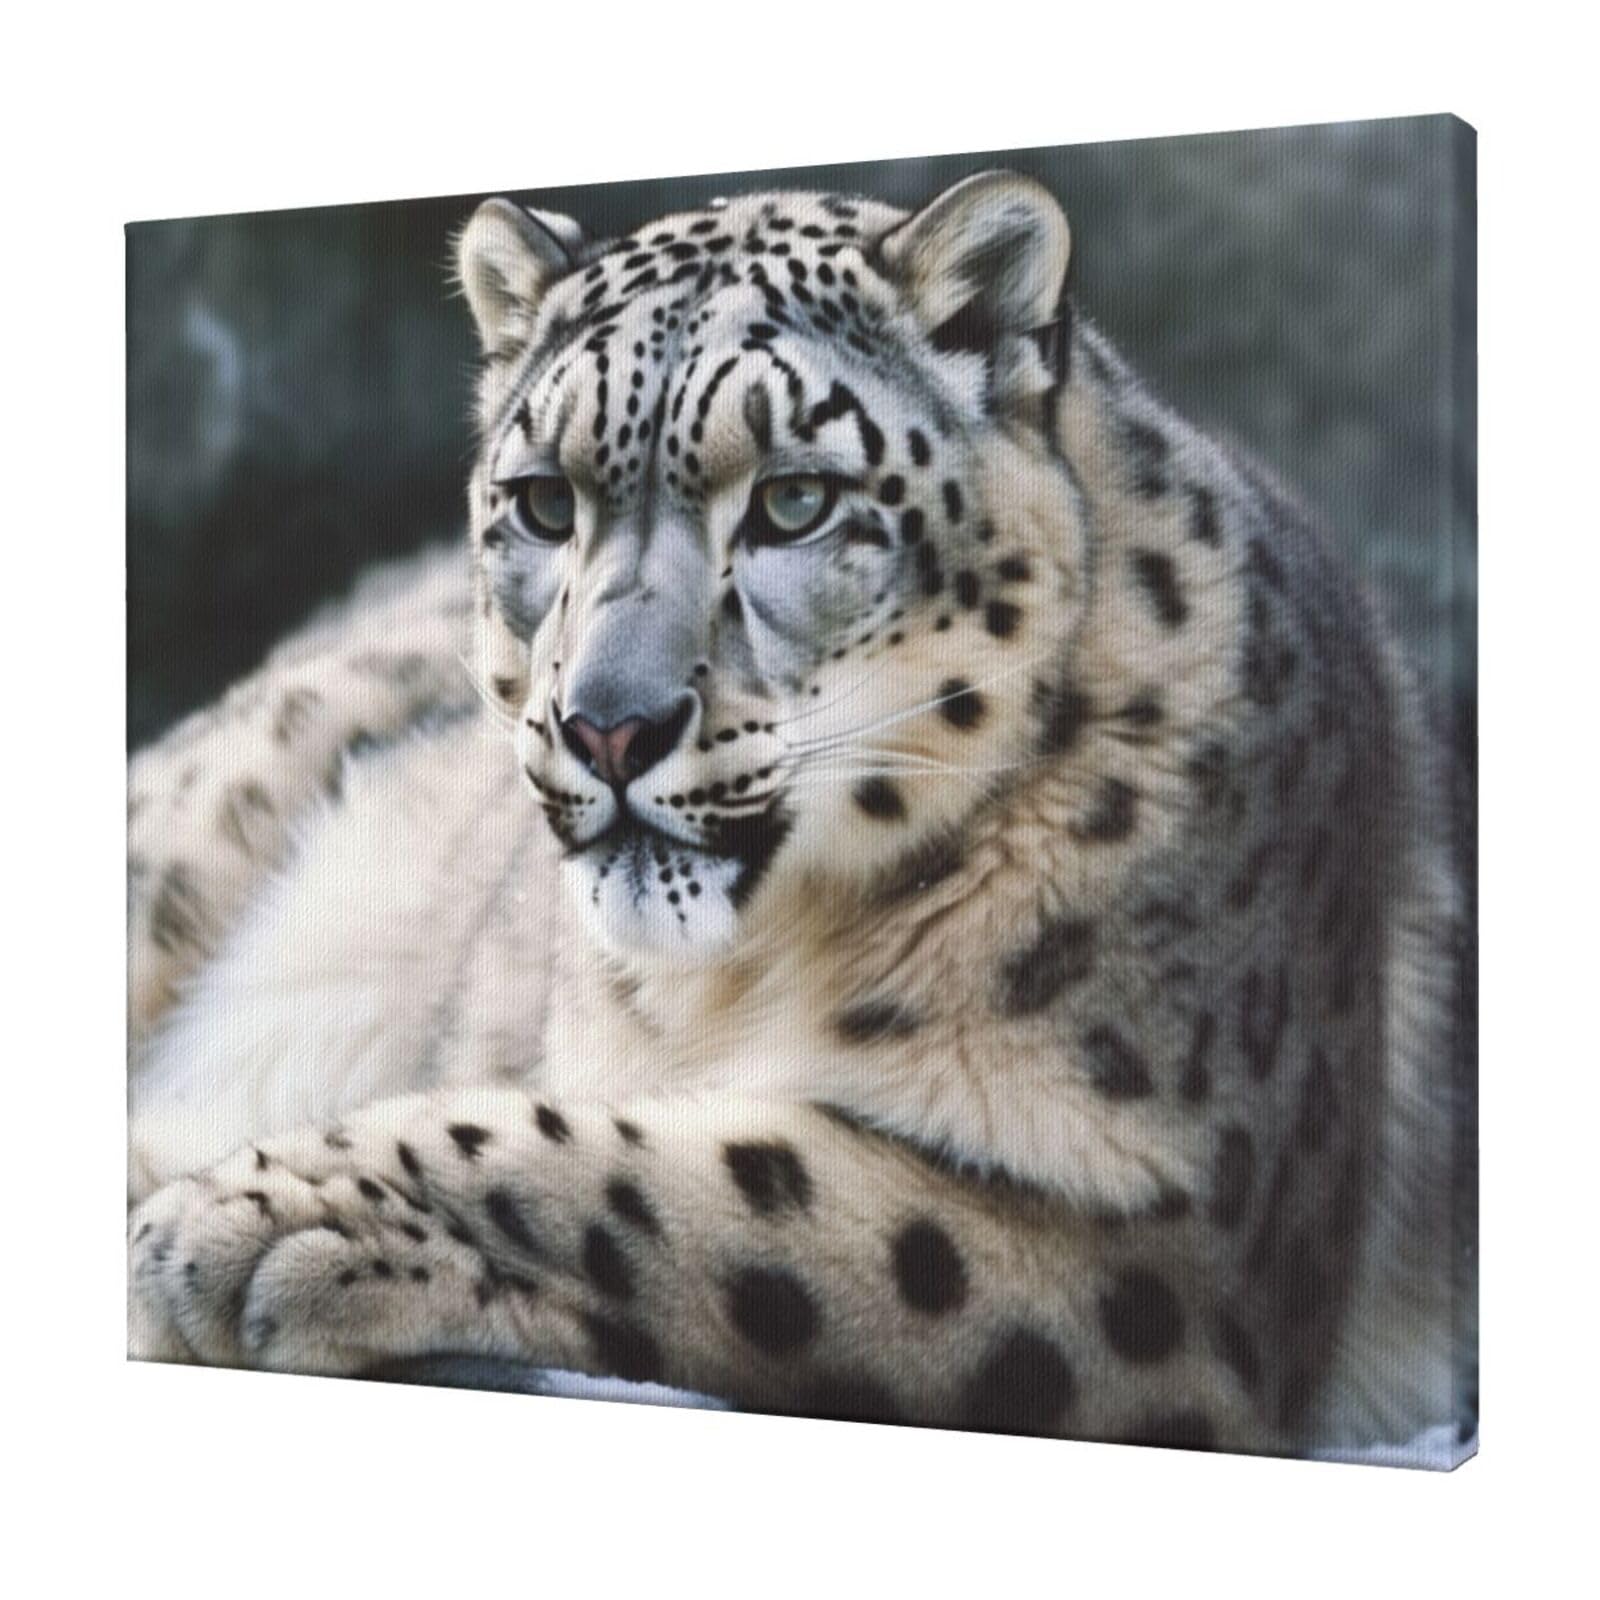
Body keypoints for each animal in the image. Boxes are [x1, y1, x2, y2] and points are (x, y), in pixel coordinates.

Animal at [127, 171, 1472, 1463]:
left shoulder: (1168, 1249)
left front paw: (245, 1221)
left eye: (793, 503)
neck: (744, 974)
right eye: (544, 502)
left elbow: (700, 1186)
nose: (607, 725)